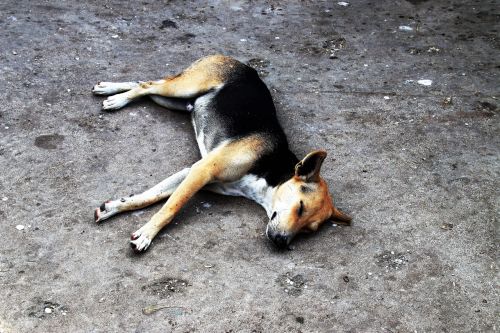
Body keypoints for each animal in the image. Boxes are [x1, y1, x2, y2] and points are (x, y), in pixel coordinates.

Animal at [94, 55, 352, 252]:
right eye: (300, 207)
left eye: (309, 229)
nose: (281, 243)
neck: (268, 172)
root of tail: (241, 63)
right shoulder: (201, 171)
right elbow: (170, 208)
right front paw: (147, 234)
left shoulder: (193, 173)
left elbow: (150, 197)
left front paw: (115, 207)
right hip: (183, 88)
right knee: (147, 85)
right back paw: (118, 99)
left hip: (174, 99)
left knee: (147, 83)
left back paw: (109, 88)